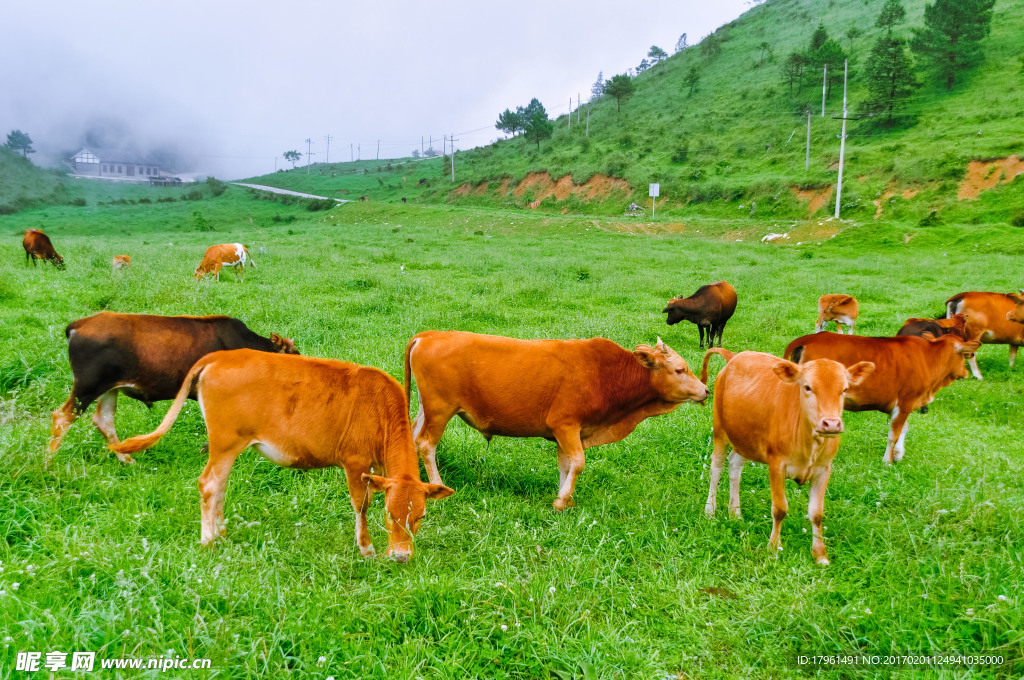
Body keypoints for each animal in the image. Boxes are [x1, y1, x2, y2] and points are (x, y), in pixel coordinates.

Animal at [49, 311, 299, 462]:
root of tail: (79, 324)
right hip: (87, 387)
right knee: (62, 417)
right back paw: (49, 464)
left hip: (109, 389)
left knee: (103, 421)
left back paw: (126, 458)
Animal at [107, 348, 452, 561]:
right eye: (390, 515)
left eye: (420, 516)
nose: (402, 557)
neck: (381, 408)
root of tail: (222, 356)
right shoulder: (355, 462)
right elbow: (362, 504)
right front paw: (366, 549)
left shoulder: (379, 467)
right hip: (224, 442)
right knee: (209, 485)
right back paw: (209, 540)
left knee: (219, 487)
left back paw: (221, 534)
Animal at [403, 329, 708, 510]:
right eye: (680, 370)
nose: (706, 390)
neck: (606, 374)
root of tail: (430, 335)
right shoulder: (566, 425)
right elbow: (578, 462)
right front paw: (562, 500)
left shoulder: (567, 433)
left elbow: (566, 465)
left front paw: (565, 495)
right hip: (440, 409)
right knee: (427, 443)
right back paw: (437, 484)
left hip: (427, 408)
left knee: (415, 435)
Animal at [700, 348, 876, 565]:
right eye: (808, 387)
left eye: (844, 389)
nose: (832, 424)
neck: (810, 443)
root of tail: (735, 356)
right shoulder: (776, 464)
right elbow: (779, 509)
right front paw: (773, 548)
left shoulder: (824, 469)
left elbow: (817, 514)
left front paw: (820, 555)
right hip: (720, 429)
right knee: (716, 468)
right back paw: (710, 510)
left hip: (744, 438)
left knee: (734, 465)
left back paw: (735, 512)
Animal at [786, 331, 978, 464]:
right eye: (966, 354)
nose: (966, 372)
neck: (928, 358)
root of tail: (807, 339)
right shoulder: (906, 401)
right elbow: (894, 433)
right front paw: (887, 461)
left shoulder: (899, 406)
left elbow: (904, 429)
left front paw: (899, 454)